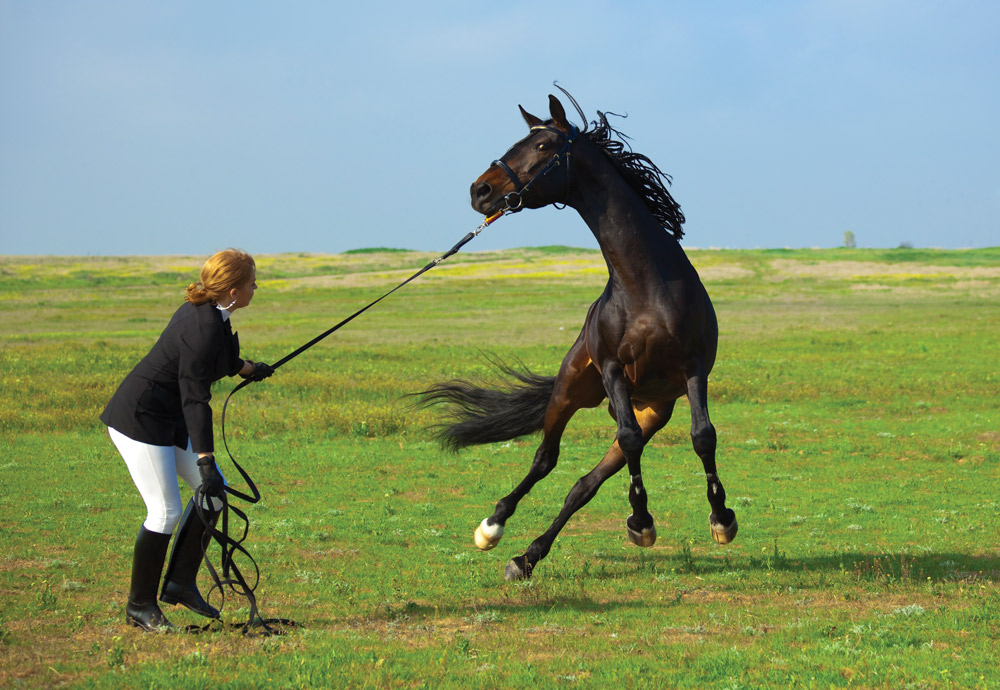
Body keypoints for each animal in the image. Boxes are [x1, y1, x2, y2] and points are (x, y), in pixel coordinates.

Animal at [418, 90, 740, 576]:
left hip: (652, 410)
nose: (480, 190)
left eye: (543, 145)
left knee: (583, 484)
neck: (644, 284)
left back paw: (527, 556)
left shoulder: (693, 367)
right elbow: (627, 442)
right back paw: (493, 528)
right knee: (545, 459)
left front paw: (720, 519)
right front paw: (642, 521)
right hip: (571, 389)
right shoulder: (612, 369)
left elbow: (702, 436)